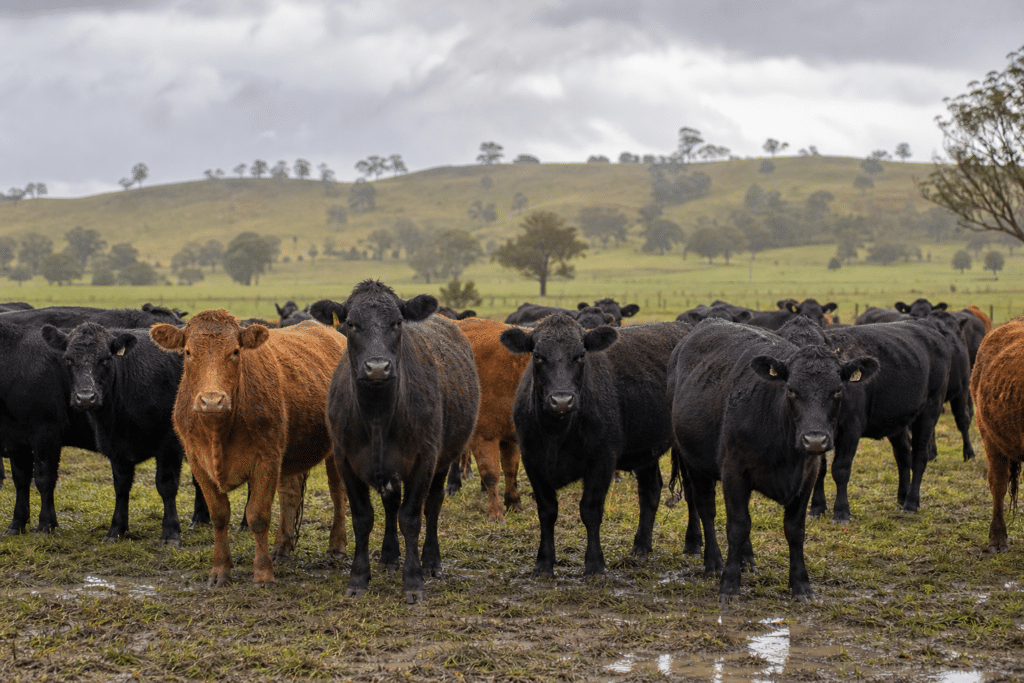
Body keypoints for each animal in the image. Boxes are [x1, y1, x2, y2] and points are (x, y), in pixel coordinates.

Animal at [0, 305, 189, 535]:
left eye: (106, 359)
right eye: (68, 359)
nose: (85, 397)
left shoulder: (46, 433)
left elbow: (44, 479)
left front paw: (45, 524)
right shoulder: (15, 439)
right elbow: (21, 480)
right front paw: (17, 524)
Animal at [150, 310, 349, 587]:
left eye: (235, 351)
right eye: (188, 352)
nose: (212, 401)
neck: (219, 432)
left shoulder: (267, 459)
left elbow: (258, 516)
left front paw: (263, 573)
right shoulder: (197, 461)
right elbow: (219, 515)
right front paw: (220, 570)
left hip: (335, 447)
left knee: (337, 492)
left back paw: (337, 546)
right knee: (290, 494)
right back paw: (281, 547)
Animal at [309, 280, 480, 603]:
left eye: (397, 322)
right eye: (351, 324)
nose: (377, 367)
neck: (378, 415)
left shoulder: (424, 459)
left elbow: (411, 517)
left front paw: (413, 581)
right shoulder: (345, 460)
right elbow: (363, 518)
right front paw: (358, 578)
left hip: (443, 461)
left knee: (432, 505)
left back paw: (431, 562)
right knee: (390, 505)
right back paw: (389, 557)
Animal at [500, 314, 692, 578]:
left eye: (581, 354)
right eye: (537, 355)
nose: (561, 400)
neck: (557, 433)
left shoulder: (602, 460)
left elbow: (590, 511)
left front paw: (594, 564)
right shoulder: (532, 460)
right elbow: (547, 511)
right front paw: (544, 563)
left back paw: (693, 545)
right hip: (646, 450)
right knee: (651, 490)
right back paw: (641, 547)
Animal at [669, 318, 878, 598]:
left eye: (837, 390)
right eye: (791, 389)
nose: (814, 440)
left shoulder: (807, 475)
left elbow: (794, 529)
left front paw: (801, 583)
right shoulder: (733, 471)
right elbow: (737, 526)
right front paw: (729, 583)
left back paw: (746, 559)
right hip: (692, 461)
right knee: (706, 509)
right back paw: (713, 562)